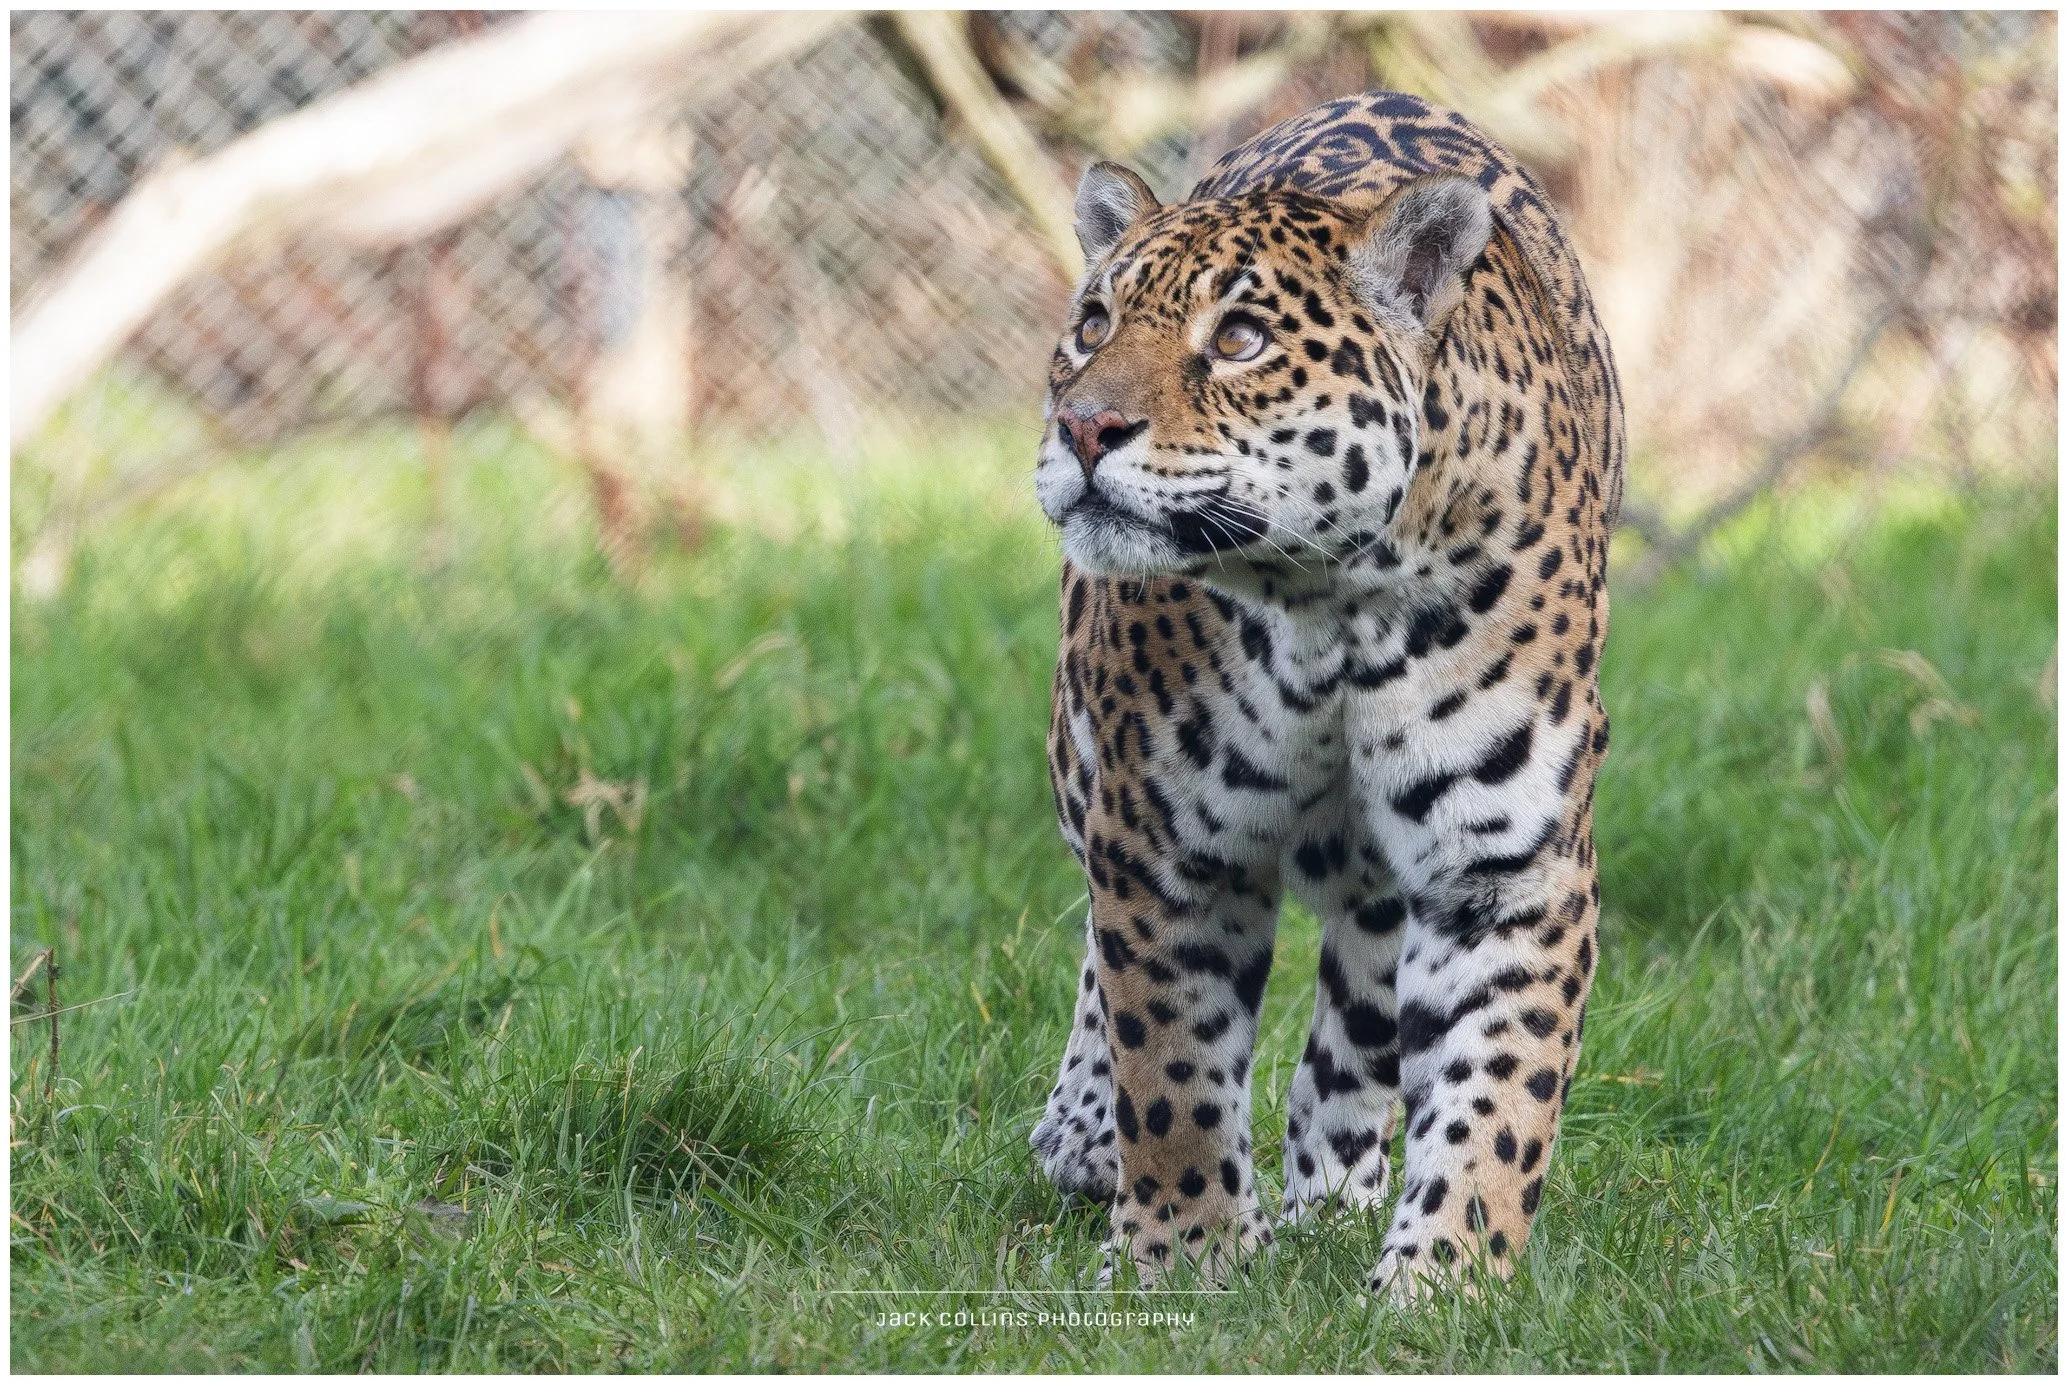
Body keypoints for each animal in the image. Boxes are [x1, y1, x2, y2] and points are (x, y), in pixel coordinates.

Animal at [1025, 90, 1624, 1302]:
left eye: (1239, 340)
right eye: (1093, 324)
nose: (1083, 428)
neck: (1328, 604)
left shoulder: (1508, 868)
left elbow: (1498, 1095)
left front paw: (1446, 1283)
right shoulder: (1164, 842)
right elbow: (1169, 1064)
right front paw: (1182, 1261)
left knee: (1356, 1025)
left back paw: (1333, 1194)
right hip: (1080, 760)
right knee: (1100, 965)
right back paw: (1083, 1132)